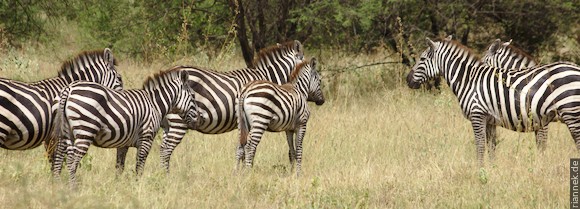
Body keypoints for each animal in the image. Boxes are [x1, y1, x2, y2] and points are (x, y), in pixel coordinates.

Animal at [48, 67, 202, 186]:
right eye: (193, 96)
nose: (198, 119)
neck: (155, 104)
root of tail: (69, 89)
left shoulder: (123, 143)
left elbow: (119, 167)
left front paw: (118, 186)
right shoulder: (146, 139)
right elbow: (139, 166)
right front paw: (138, 186)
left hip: (65, 132)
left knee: (59, 159)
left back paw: (58, 185)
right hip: (85, 131)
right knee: (72, 162)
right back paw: (73, 188)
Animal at [156, 40, 306, 172]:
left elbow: (242, 147)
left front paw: (241, 171)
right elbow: (248, 148)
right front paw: (246, 170)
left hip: (167, 123)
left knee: (162, 148)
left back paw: (162, 174)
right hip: (178, 120)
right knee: (166, 149)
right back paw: (166, 176)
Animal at [406, 36, 580, 166]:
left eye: (422, 59)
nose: (407, 80)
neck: (469, 80)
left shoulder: (478, 115)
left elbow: (480, 146)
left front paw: (480, 171)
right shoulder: (490, 120)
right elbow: (492, 148)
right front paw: (492, 171)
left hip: (571, 114)